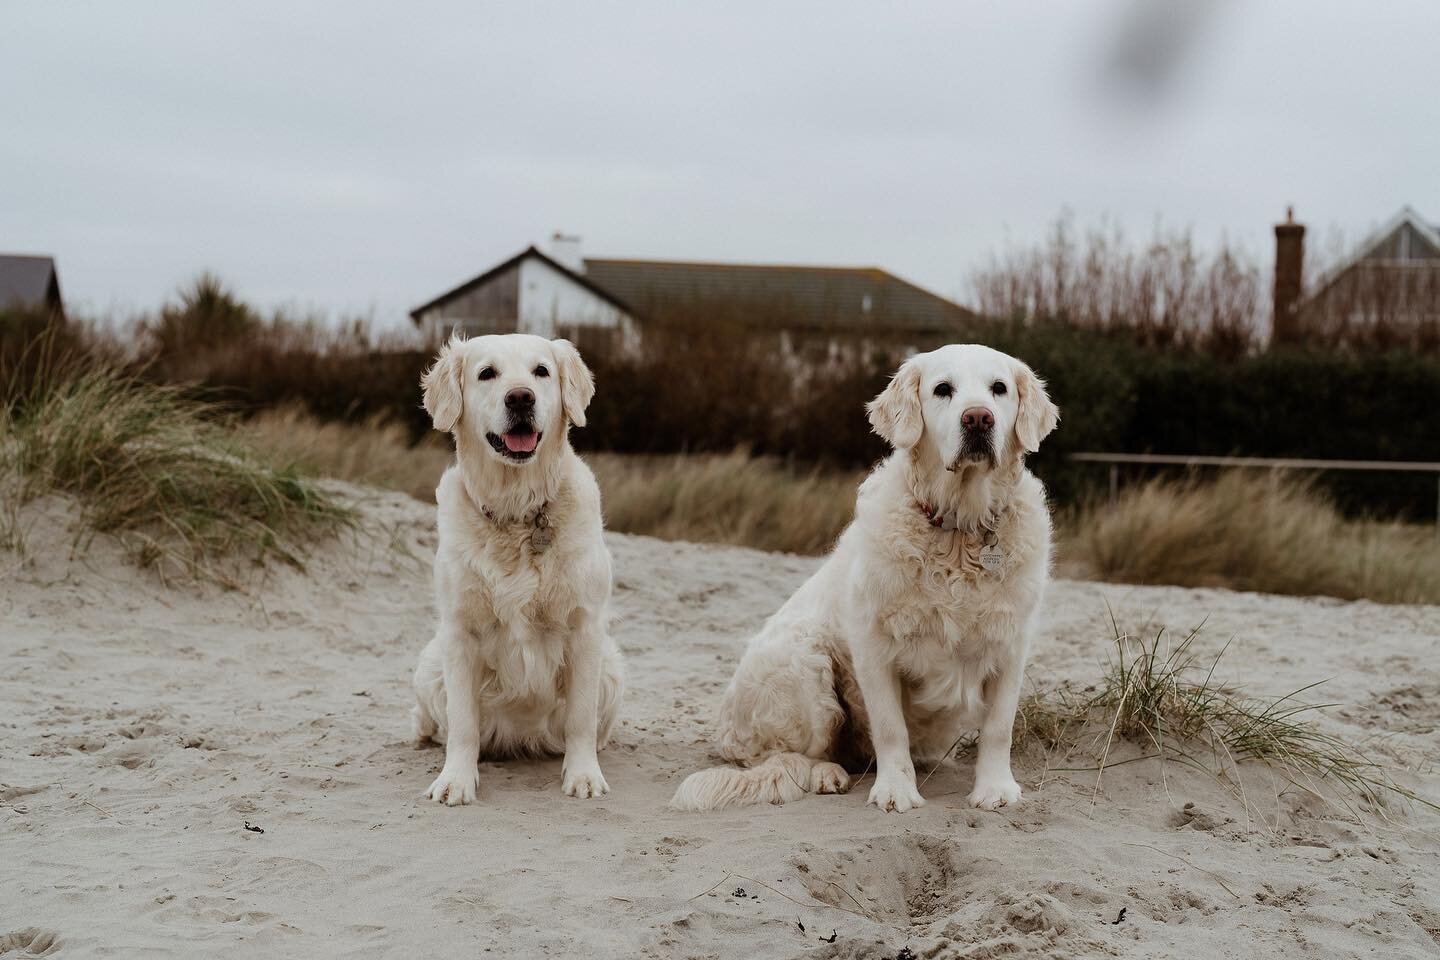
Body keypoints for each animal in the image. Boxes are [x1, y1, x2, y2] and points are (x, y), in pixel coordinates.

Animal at [411, 332, 624, 805]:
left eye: (541, 371)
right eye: (487, 373)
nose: (521, 397)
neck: (518, 513)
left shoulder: (584, 628)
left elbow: (580, 718)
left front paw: (583, 775)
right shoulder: (460, 631)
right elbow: (463, 722)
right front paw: (455, 779)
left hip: (611, 666)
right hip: (430, 663)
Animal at [671, 343, 1059, 811]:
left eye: (999, 388)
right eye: (942, 389)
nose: (979, 418)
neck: (958, 533)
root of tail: (726, 729)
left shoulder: (1011, 642)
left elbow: (999, 726)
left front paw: (995, 789)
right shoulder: (874, 644)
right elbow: (890, 727)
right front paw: (896, 791)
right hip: (803, 659)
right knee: (788, 757)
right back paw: (827, 774)